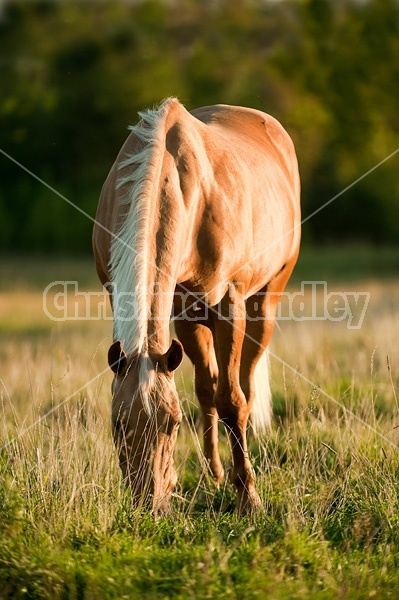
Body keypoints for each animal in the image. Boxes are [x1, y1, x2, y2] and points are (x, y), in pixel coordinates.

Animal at [93, 96, 300, 512]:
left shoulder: (231, 309)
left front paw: (249, 497)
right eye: (118, 425)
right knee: (207, 386)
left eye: (172, 424)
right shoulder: (172, 312)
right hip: (192, 322)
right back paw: (215, 472)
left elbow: (233, 401)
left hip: (264, 304)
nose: (149, 504)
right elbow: (208, 391)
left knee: (244, 383)